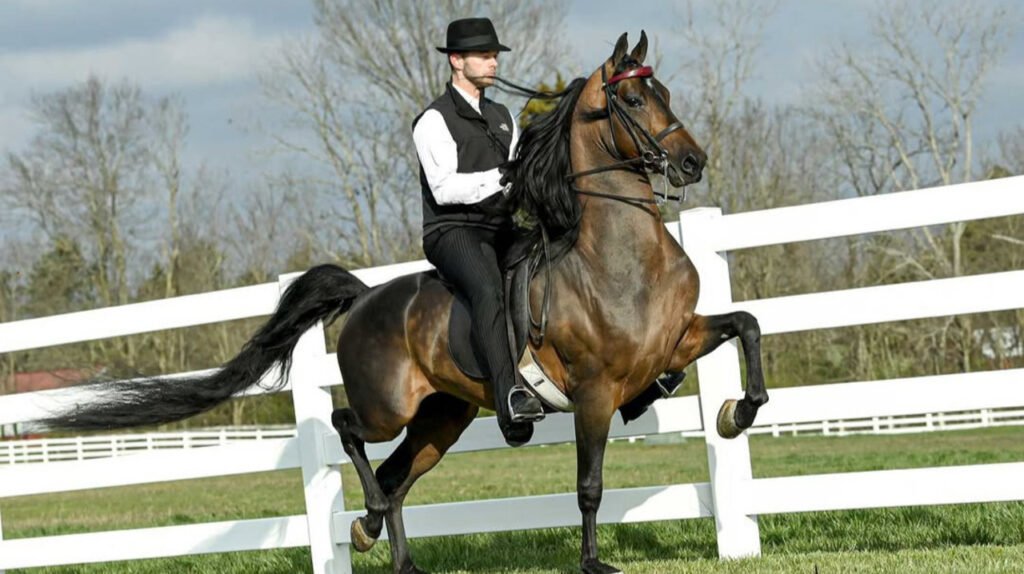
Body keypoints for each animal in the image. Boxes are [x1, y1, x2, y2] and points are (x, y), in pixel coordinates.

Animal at [41, 32, 768, 574]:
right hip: (388, 408)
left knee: (396, 478)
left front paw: (736, 413)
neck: (620, 258)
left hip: (440, 418)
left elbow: (747, 325)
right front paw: (593, 563)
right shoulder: (594, 392)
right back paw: (364, 523)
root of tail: (365, 298)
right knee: (347, 430)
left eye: (662, 91)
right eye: (635, 97)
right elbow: (589, 486)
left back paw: (390, 549)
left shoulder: (676, 342)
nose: (692, 162)